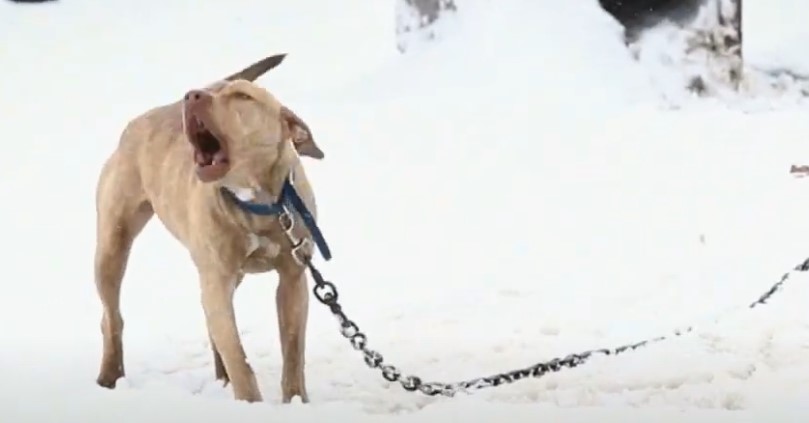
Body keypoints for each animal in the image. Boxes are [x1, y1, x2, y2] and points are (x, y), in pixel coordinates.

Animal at [92, 53, 326, 404]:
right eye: (209, 91)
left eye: (242, 96)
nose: (192, 95)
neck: (255, 201)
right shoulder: (217, 278)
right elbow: (238, 356)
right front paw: (250, 402)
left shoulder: (292, 278)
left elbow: (293, 352)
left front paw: (296, 401)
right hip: (112, 245)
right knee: (112, 317)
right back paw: (110, 375)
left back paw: (221, 376)